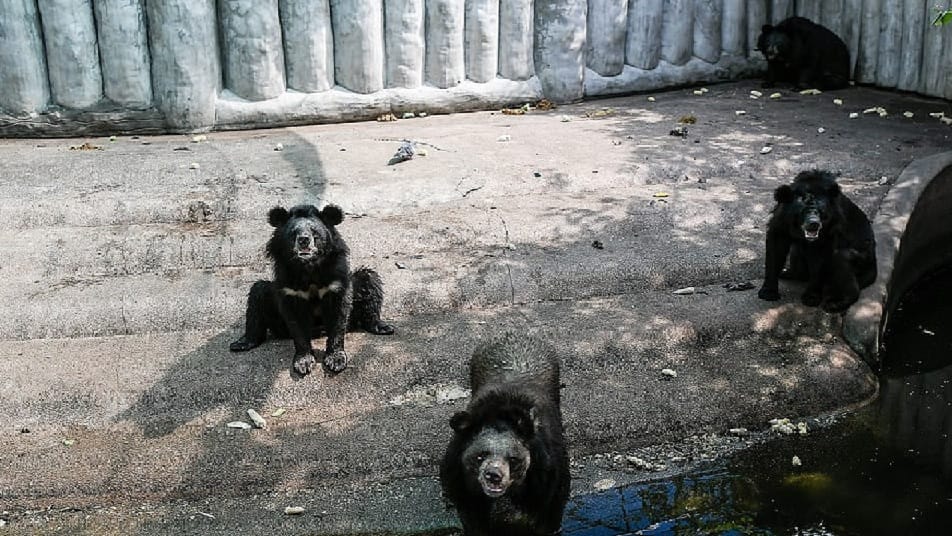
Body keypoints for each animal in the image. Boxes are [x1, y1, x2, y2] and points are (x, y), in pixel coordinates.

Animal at [229, 204, 393, 375]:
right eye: (293, 233)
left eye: (315, 232)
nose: (304, 240)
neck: (308, 266)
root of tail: (318, 331)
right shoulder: (289, 286)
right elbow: (296, 324)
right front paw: (304, 362)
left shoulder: (336, 280)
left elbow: (339, 315)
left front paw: (336, 360)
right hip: (274, 315)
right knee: (257, 294)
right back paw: (242, 343)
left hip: (361, 293)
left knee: (369, 280)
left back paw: (382, 327)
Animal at [439, 333, 570, 536]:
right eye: (480, 455)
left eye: (513, 459)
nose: (493, 475)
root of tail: (515, 334)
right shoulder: (461, 481)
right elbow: (471, 516)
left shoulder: (548, 478)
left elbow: (551, 512)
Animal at [758, 170, 877, 313]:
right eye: (802, 212)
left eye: (821, 212)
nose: (813, 224)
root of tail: (874, 265)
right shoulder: (782, 220)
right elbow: (776, 247)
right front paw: (768, 292)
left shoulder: (830, 229)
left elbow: (820, 260)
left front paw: (811, 298)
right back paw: (788, 273)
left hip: (861, 257)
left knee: (842, 261)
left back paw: (835, 303)